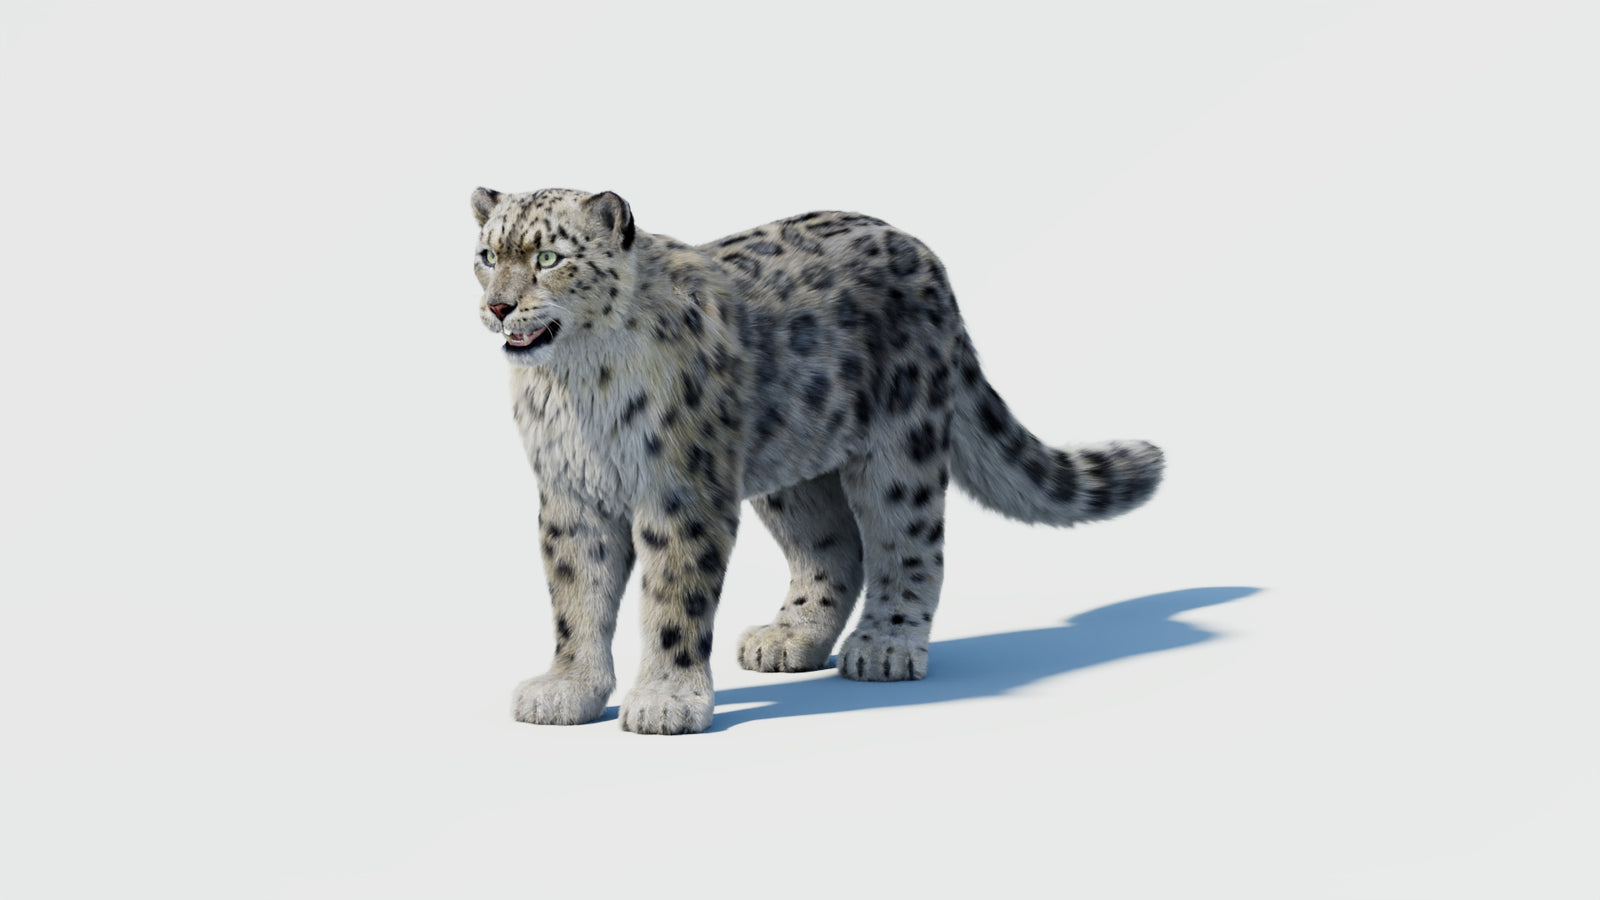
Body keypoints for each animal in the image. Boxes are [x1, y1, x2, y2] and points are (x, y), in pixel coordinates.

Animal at [471, 187, 1164, 735]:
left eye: (548, 258)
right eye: (487, 256)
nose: (499, 307)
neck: (576, 387)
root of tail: (921, 251)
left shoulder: (680, 490)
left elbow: (674, 597)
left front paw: (666, 701)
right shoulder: (571, 495)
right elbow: (576, 595)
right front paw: (567, 690)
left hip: (900, 451)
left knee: (908, 545)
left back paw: (885, 645)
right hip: (790, 466)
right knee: (833, 547)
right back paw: (789, 639)